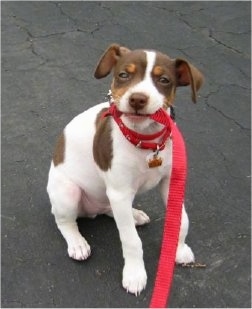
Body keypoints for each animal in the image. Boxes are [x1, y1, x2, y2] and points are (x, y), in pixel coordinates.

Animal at [47, 44, 204, 294]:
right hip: (69, 194)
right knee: (65, 221)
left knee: (111, 210)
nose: (137, 99)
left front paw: (178, 249)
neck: (146, 140)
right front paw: (134, 274)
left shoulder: (170, 183)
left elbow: (181, 220)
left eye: (163, 80)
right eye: (123, 75)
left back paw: (135, 214)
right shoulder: (120, 192)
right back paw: (77, 243)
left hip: (111, 198)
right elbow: (131, 240)